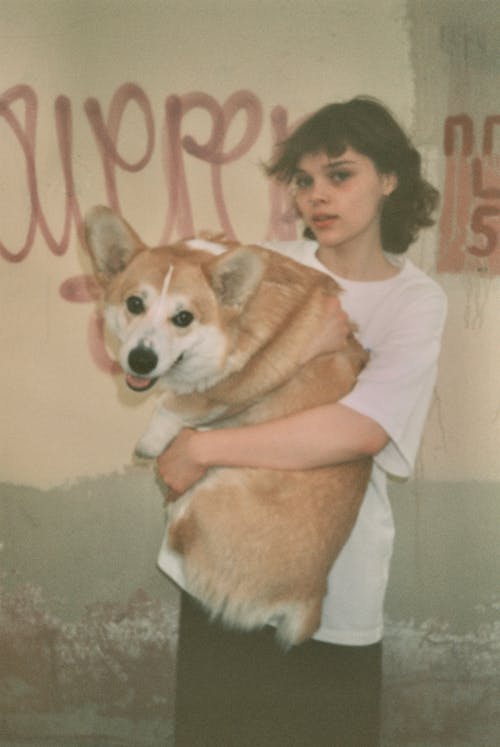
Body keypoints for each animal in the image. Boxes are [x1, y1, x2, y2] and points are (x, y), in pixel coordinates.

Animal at [85, 206, 372, 648]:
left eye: (183, 318)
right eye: (134, 303)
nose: (141, 360)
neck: (236, 319)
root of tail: (310, 597)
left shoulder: (238, 380)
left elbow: (175, 404)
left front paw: (152, 441)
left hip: (211, 492)